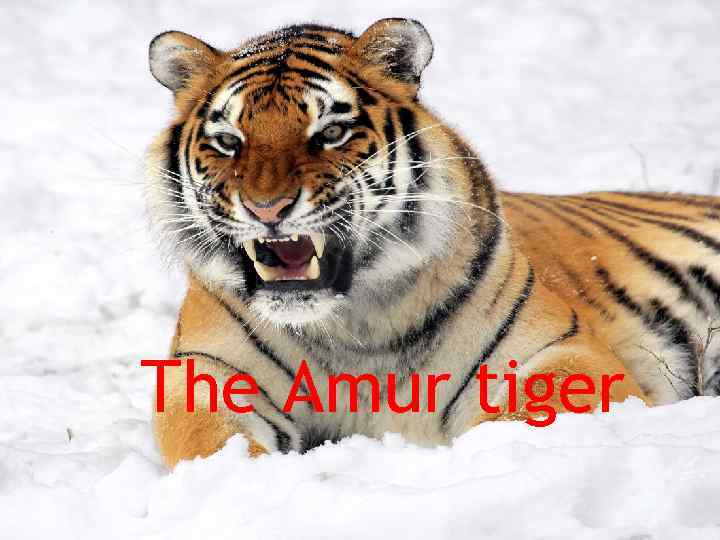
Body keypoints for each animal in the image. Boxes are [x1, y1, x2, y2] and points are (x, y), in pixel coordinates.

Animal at [145, 18, 720, 469]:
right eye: (228, 141)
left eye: (329, 133)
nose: (266, 208)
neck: (352, 327)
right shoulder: (208, 371)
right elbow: (209, 442)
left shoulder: (562, 350)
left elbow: (520, 417)